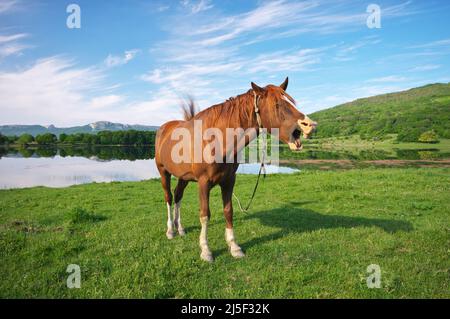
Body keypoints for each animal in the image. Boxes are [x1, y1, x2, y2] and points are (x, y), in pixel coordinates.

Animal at [156, 77, 318, 262]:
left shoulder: (229, 181)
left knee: (178, 196)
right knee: (169, 197)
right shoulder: (203, 183)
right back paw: (170, 230)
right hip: (163, 172)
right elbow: (205, 215)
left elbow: (228, 211)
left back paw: (180, 228)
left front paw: (234, 246)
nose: (310, 125)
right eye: (277, 104)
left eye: (291, 101)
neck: (216, 140)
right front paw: (206, 250)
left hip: (184, 177)